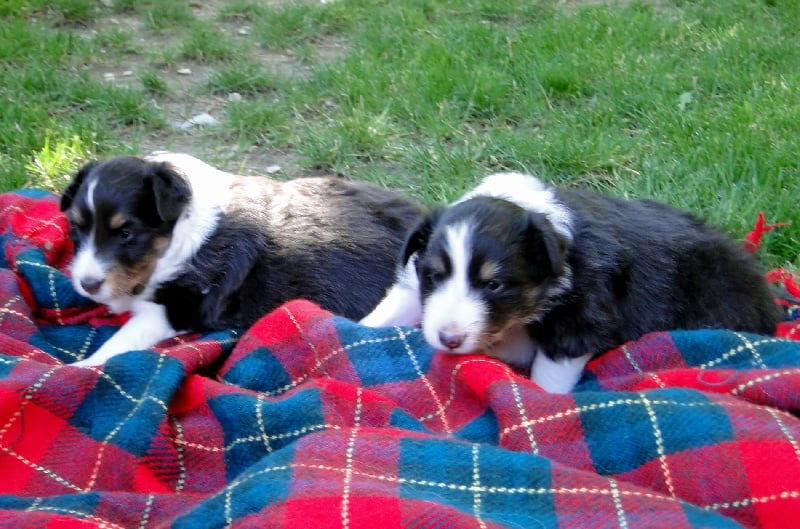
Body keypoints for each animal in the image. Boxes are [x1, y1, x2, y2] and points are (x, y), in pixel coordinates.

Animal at [61, 151, 424, 366]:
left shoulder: (173, 309)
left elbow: (118, 342)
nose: (87, 284)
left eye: (126, 233)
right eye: (76, 227)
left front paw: (80, 367)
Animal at [362, 172, 780, 392]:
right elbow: (388, 311)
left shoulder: (581, 320)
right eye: (434, 276)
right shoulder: (413, 285)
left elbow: (550, 377)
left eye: (495, 286)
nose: (449, 339)